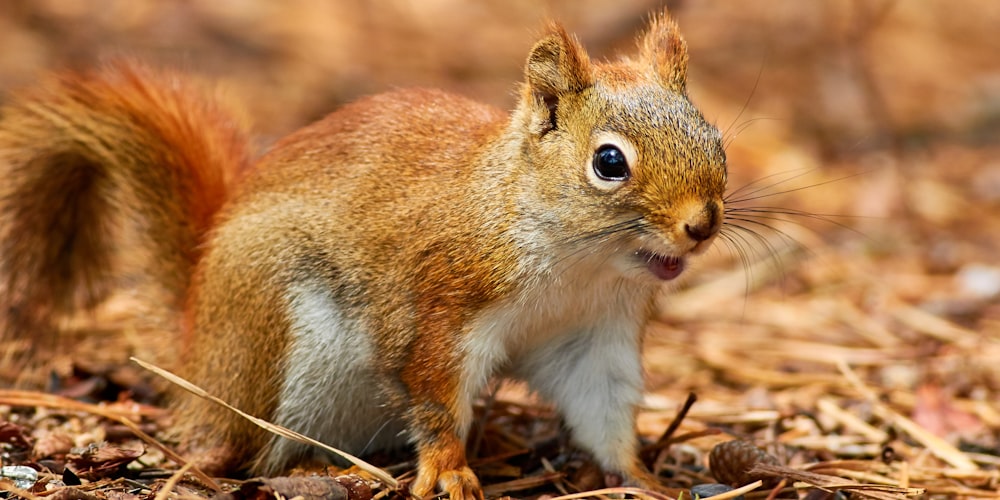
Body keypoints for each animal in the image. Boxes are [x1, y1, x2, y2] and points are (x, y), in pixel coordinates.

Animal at [0, 9, 724, 498]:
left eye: (714, 137)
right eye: (609, 163)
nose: (702, 225)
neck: (575, 265)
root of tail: (200, 345)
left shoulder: (593, 333)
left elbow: (604, 409)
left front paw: (643, 477)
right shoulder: (440, 307)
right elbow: (433, 394)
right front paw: (450, 467)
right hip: (282, 344)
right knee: (251, 448)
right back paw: (315, 466)